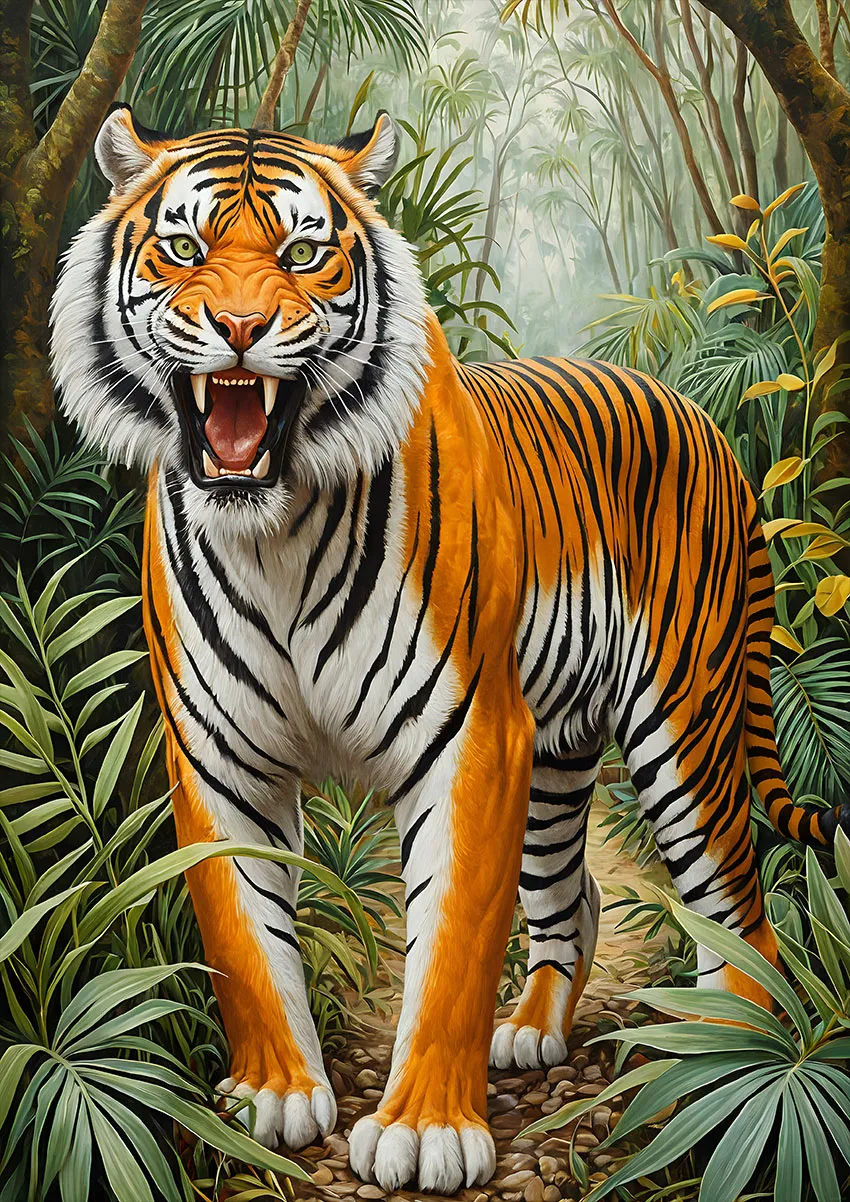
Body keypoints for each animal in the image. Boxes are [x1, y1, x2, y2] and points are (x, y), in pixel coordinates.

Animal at [50, 103, 848, 1195]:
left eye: (305, 254)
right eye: (184, 248)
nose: (241, 331)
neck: (272, 529)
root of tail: (696, 411)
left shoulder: (469, 735)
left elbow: (454, 940)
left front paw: (426, 1127)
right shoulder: (217, 752)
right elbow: (243, 931)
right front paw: (272, 1097)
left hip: (682, 723)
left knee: (736, 902)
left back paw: (726, 1063)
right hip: (556, 755)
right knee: (573, 896)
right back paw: (533, 1031)